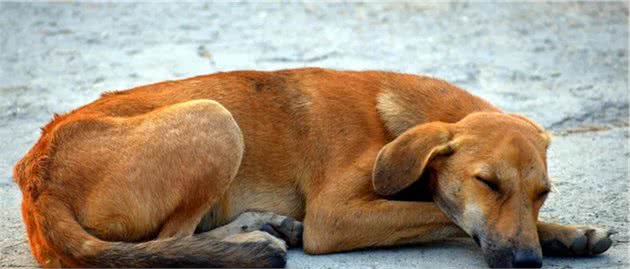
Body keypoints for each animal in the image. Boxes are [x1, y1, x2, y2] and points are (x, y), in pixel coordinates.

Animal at [14, 67, 616, 266]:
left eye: (542, 192)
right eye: (486, 183)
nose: (527, 263)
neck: (392, 121)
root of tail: (37, 176)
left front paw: (568, 234)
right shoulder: (334, 218)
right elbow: (441, 212)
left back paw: (259, 225)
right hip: (215, 118)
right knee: (169, 241)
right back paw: (249, 243)